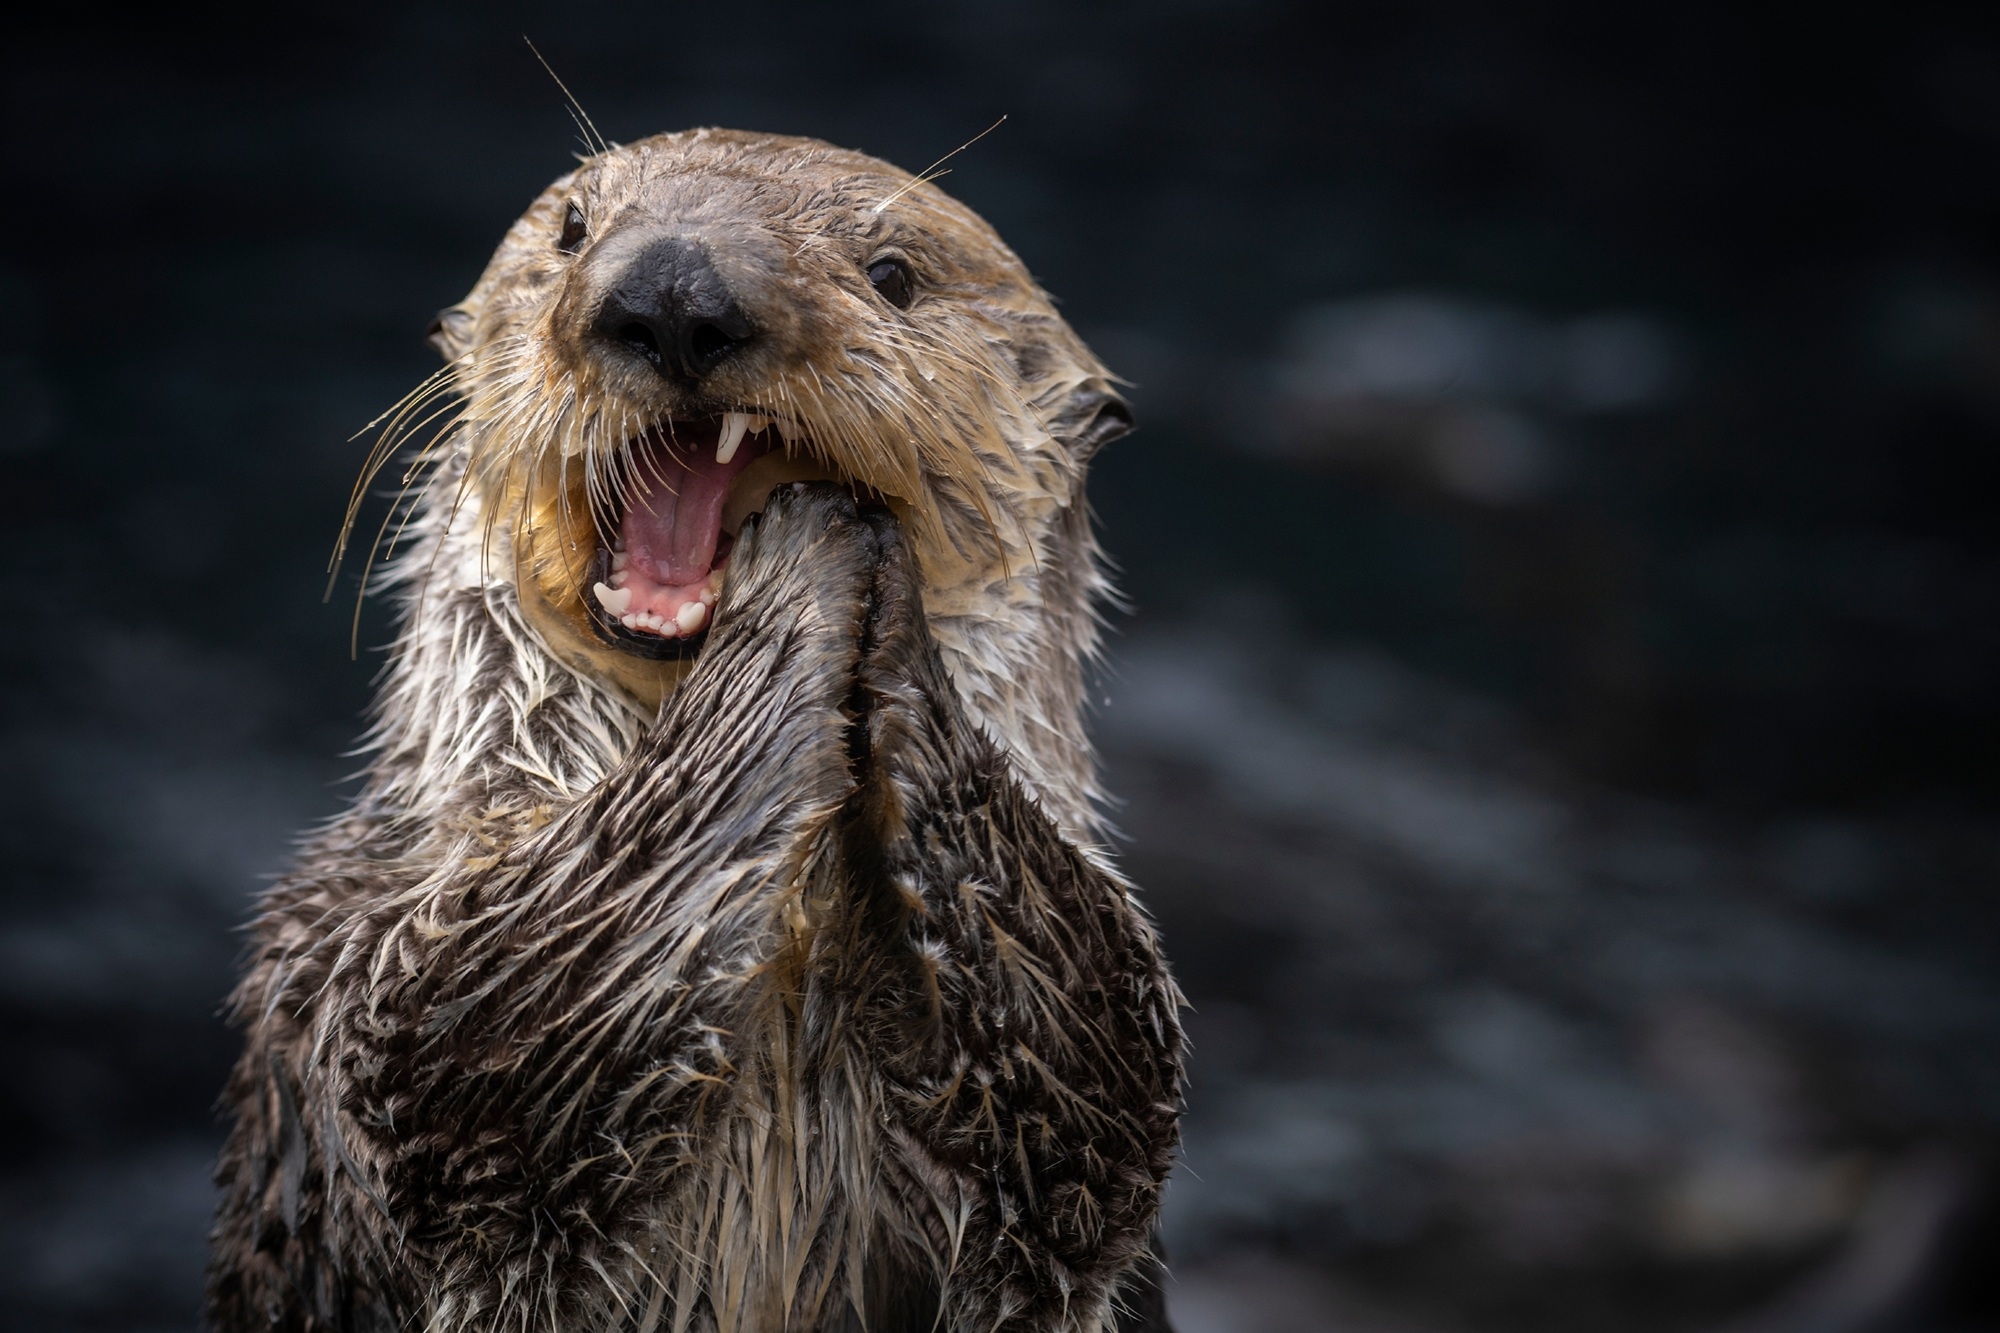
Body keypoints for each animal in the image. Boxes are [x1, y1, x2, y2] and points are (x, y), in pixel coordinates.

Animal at [206, 129, 1183, 1333]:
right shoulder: (356, 953)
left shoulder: (1083, 1120)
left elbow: (1088, 1071)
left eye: (893, 273)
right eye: (574, 226)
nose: (672, 291)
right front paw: (804, 571)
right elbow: (471, 1020)